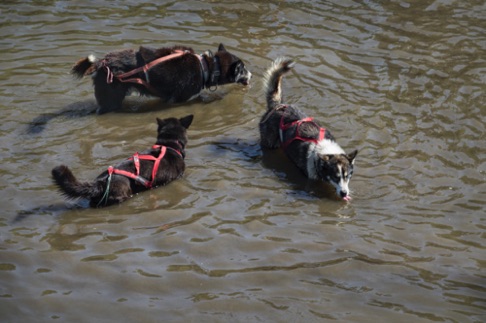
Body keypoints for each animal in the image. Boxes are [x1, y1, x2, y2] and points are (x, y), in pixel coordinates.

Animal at [73, 43, 254, 114]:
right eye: (243, 69)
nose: (252, 75)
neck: (207, 67)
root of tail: (101, 62)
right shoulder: (179, 99)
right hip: (111, 100)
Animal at [258, 58, 356, 200]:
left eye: (347, 177)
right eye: (335, 177)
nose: (344, 193)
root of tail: (277, 106)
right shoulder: (311, 177)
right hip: (269, 143)